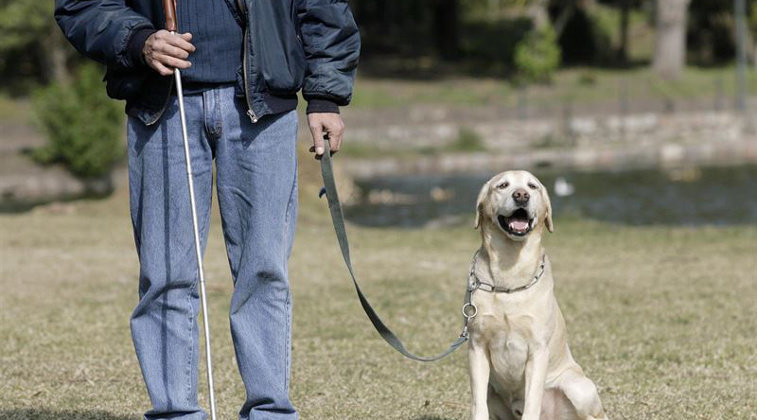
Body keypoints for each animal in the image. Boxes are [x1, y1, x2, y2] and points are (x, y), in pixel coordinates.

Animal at [466, 171, 608, 420]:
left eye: (532, 186)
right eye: (502, 185)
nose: (521, 195)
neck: (509, 273)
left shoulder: (538, 350)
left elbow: (532, 402)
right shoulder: (477, 347)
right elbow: (478, 404)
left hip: (579, 388)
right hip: (494, 392)